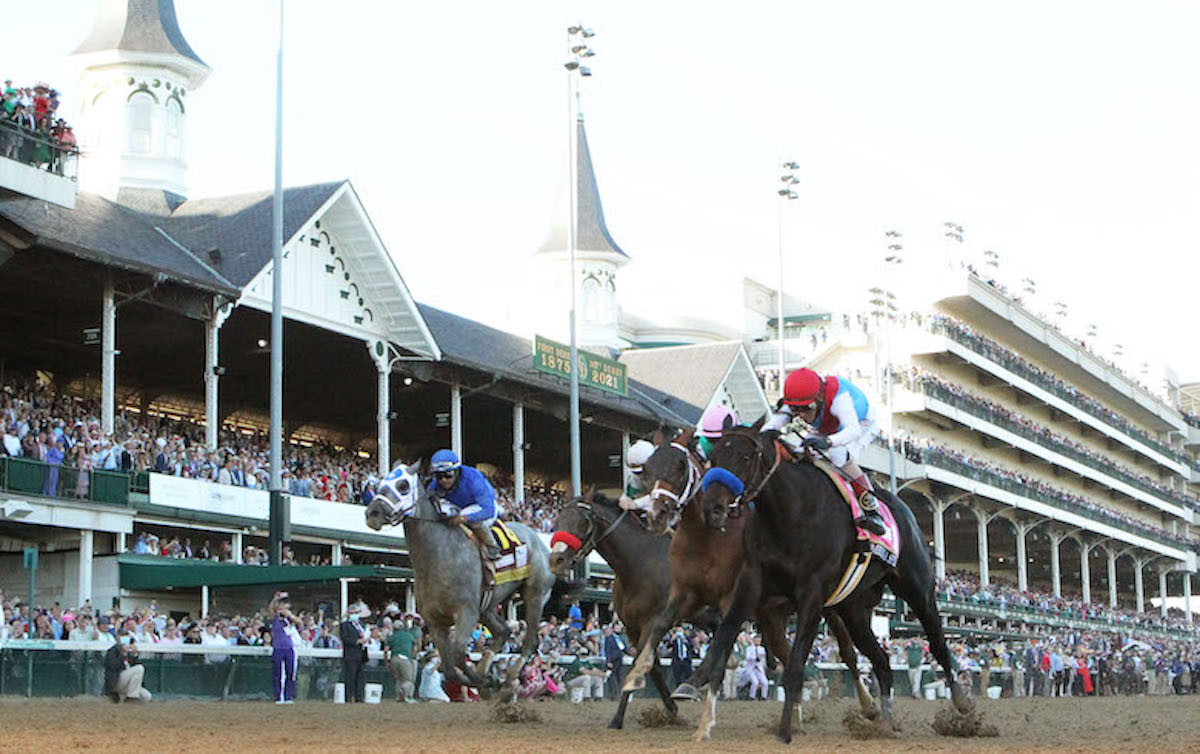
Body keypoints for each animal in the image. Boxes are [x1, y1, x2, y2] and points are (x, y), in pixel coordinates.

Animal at [364, 463, 556, 705]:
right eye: (379, 483)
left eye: (403, 485)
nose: (372, 513)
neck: (439, 556)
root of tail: (537, 538)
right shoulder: (435, 620)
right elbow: (449, 669)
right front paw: (485, 681)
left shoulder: (466, 612)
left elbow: (456, 655)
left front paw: (487, 681)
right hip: (487, 607)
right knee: (503, 632)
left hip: (535, 596)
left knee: (529, 642)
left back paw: (508, 678)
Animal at [700, 425, 969, 744]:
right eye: (714, 456)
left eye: (744, 457)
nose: (712, 507)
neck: (789, 512)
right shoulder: (753, 585)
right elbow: (723, 638)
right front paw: (703, 715)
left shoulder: (812, 596)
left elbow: (795, 664)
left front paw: (784, 731)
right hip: (854, 610)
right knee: (881, 661)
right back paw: (885, 722)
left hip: (918, 591)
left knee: (938, 644)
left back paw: (961, 702)